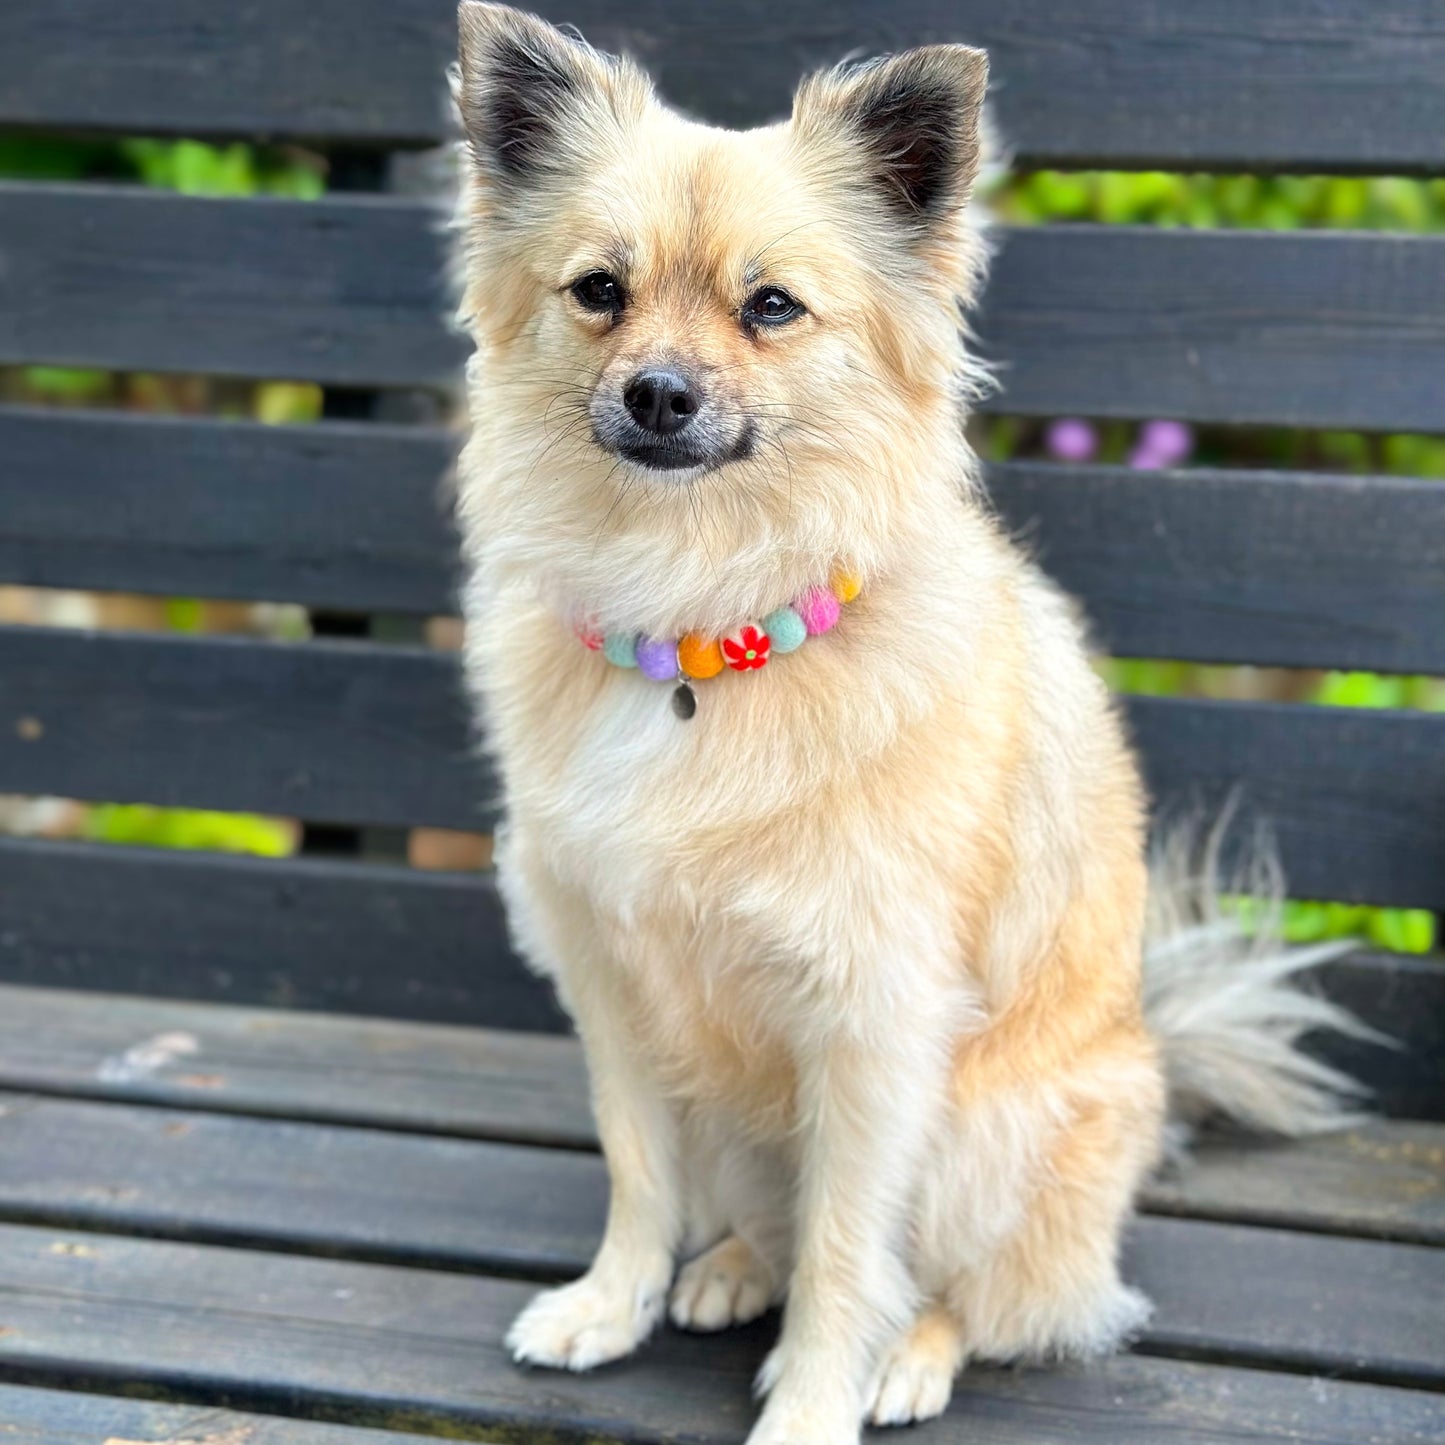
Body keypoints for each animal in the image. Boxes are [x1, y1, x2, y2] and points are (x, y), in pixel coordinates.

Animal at [450, 8, 1364, 1433]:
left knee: (983, 1292)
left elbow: (847, 1248)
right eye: (598, 290)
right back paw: (728, 1266)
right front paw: (613, 1301)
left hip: (986, 1134)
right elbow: (639, 1168)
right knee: (765, 1216)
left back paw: (909, 1357)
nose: (654, 392)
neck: (702, 618)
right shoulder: (612, 986)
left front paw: (813, 1401)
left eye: (771, 305)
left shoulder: (871, 1027)